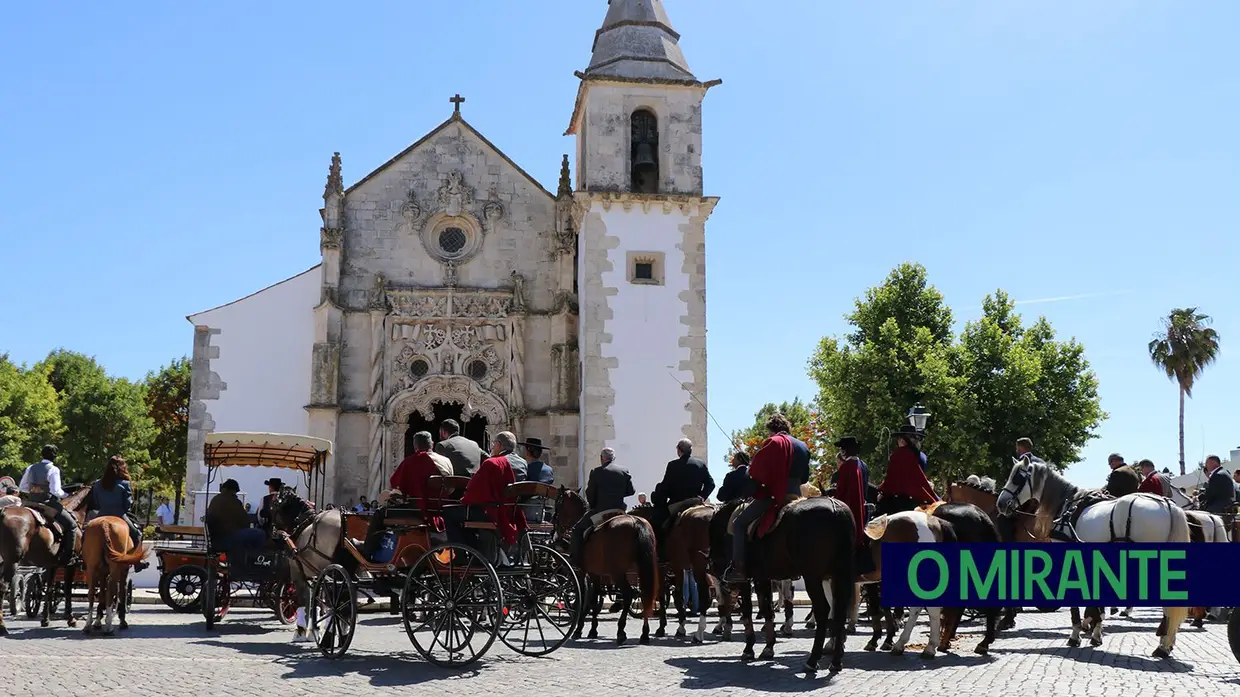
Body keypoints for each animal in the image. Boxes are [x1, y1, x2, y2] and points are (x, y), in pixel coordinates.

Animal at [0, 486, 91, 632]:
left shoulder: (52, 564)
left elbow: (49, 589)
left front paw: (45, 619)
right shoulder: (70, 565)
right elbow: (67, 590)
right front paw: (70, 618)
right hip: (12, 561)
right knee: (3, 586)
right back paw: (2, 625)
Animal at [555, 486, 664, 644]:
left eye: (558, 504)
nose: (556, 529)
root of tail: (636, 522)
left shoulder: (582, 572)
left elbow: (586, 598)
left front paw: (579, 628)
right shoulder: (596, 573)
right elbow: (594, 598)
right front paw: (593, 630)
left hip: (618, 572)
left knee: (629, 594)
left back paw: (621, 631)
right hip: (642, 570)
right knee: (646, 595)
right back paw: (645, 634)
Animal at [629, 498, 719, 639]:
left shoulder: (660, 567)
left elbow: (661, 594)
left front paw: (661, 627)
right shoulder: (678, 566)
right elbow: (678, 596)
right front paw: (681, 627)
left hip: (699, 564)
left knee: (705, 593)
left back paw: (699, 633)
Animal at [709, 493, 853, 674]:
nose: (711, 567)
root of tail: (836, 508)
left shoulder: (746, 580)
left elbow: (749, 611)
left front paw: (749, 649)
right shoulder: (763, 577)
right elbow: (767, 610)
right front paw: (768, 647)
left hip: (813, 577)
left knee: (823, 609)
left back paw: (812, 660)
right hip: (840, 575)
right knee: (839, 611)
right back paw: (835, 661)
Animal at [987, 458, 1190, 654]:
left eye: (1017, 478)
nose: (1000, 504)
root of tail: (1168, 505)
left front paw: (1076, 634)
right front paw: (1096, 631)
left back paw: (1163, 645)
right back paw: (1167, 642)